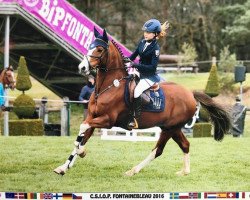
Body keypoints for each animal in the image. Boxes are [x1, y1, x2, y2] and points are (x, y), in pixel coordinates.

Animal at [54, 27, 230, 177]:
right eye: (90, 46)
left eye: (99, 49)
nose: (82, 67)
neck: (108, 87)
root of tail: (190, 93)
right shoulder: (93, 117)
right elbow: (82, 136)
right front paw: (64, 167)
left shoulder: (107, 120)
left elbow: (82, 130)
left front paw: (81, 152)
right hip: (171, 128)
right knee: (184, 145)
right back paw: (184, 171)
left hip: (170, 128)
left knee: (158, 150)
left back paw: (133, 170)